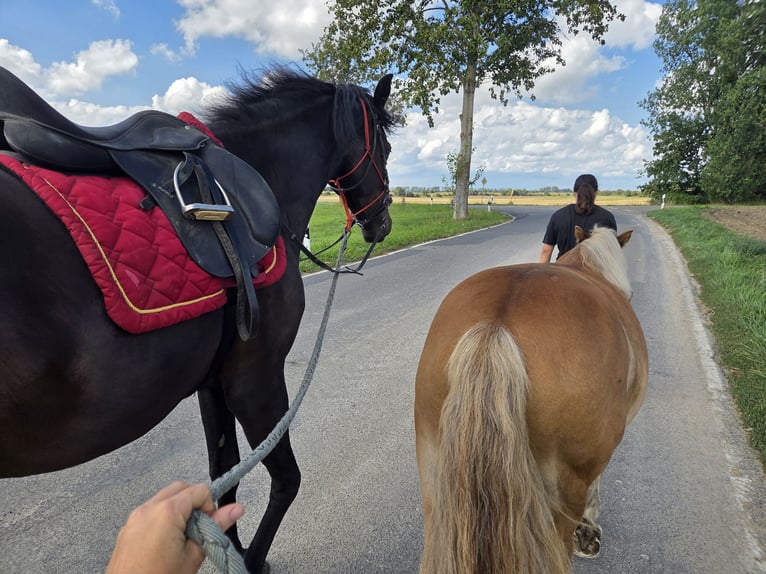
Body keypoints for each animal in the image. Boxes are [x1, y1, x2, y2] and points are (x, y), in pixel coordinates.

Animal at [0, 67, 394, 574]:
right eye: (385, 148)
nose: (382, 223)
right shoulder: (255, 379)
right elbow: (285, 478)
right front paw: (251, 561)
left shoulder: (214, 383)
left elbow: (224, 479)